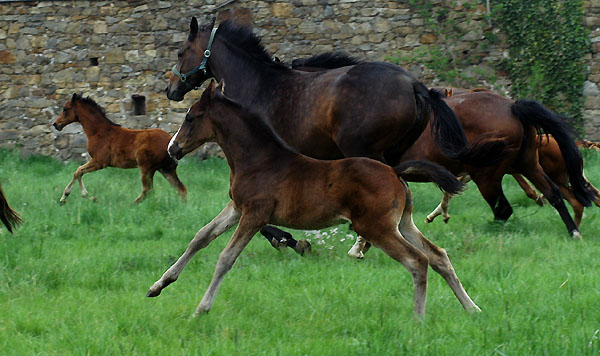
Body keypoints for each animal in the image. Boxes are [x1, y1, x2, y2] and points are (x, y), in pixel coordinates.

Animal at [53, 93, 186, 204]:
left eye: (65, 109)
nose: (56, 124)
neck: (98, 132)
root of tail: (171, 142)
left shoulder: (100, 162)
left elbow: (78, 171)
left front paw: (70, 196)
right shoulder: (96, 161)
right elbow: (78, 172)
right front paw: (69, 198)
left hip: (146, 167)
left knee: (148, 190)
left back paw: (130, 205)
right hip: (165, 169)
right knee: (181, 189)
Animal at [148, 81, 480, 318]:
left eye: (191, 117)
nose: (172, 148)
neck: (258, 159)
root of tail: (394, 171)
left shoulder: (255, 214)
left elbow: (226, 257)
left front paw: (201, 309)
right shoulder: (236, 208)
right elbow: (200, 237)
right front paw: (158, 286)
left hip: (376, 227)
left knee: (418, 261)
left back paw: (418, 319)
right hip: (402, 223)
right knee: (438, 256)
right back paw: (471, 308)